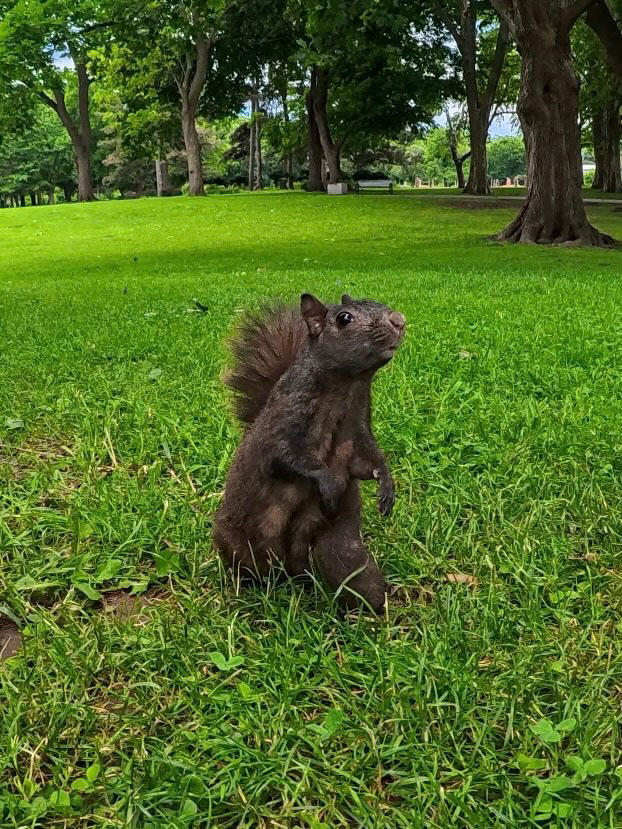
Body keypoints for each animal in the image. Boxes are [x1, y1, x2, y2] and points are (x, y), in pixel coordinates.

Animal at [213, 293, 406, 611]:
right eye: (344, 318)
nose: (399, 320)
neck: (348, 387)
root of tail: (292, 567)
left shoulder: (358, 433)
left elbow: (369, 462)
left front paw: (387, 486)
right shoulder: (286, 424)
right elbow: (288, 459)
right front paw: (329, 485)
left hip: (339, 546)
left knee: (354, 577)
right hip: (243, 545)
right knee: (249, 568)